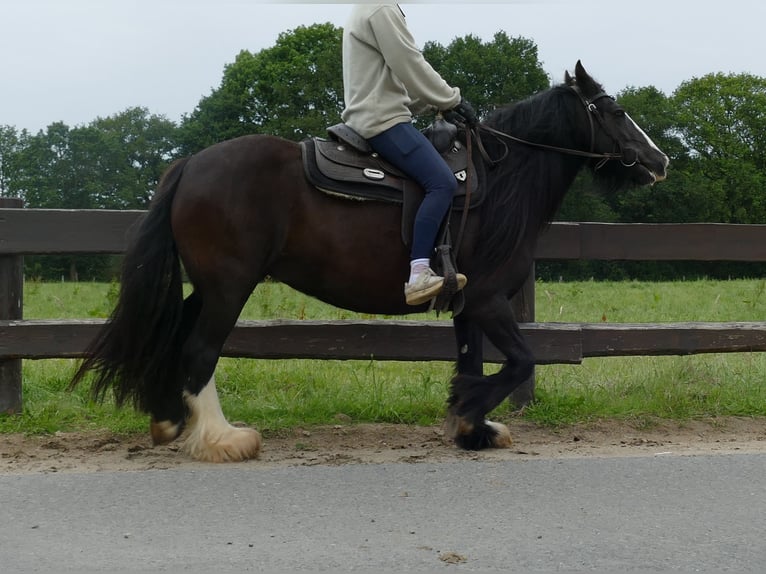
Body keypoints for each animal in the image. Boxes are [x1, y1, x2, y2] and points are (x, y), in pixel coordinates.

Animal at [73, 63, 672, 464]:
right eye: (615, 111)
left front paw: (472, 428)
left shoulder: (466, 303)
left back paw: (169, 419)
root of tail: (191, 164)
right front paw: (467, 411)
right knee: (199, 348)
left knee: (175, 335)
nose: (659, 160)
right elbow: (520, 363)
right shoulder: (487, 300)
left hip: (212, 284)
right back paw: (223, 438)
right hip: (230, 285)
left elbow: (471, 361)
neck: (499, 178)